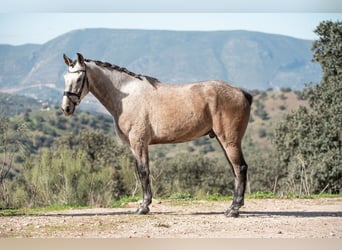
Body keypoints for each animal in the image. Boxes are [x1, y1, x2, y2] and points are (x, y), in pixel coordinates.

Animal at [61, 52, 252, 217]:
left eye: (79, 78)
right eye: (65, 78)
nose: (66, 108)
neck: (126, 96)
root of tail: (242, 93)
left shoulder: (139, 142)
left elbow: (143, 171)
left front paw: (143, 206)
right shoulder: (135, 146)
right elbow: (141, 172)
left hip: (229, 141)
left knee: (240, 168)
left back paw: (234, 209)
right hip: (223, 140)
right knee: (235, 170)